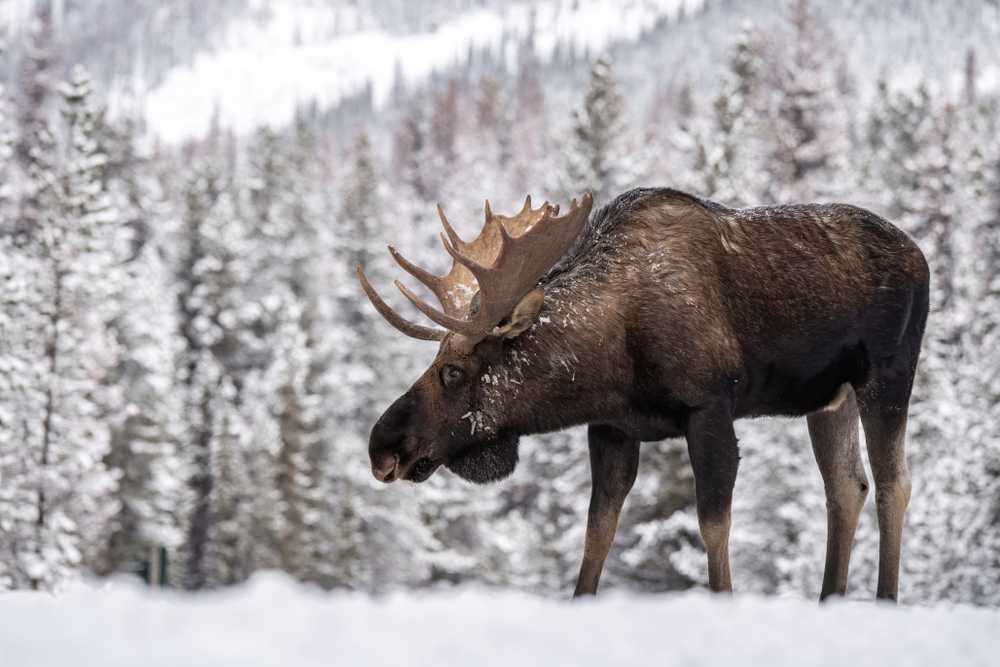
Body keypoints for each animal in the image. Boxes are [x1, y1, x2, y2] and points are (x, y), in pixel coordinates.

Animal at [357, 187, 929, 601]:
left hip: (888, 374)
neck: (611, 361)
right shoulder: (611, 428)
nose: (381, 447)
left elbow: (712, 526)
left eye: (454, 371)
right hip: (831, 398)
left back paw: (885, 600)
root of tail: (922, 257)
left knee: (893, 484)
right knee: (847, 487)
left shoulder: (709, 409)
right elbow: (597, 535)